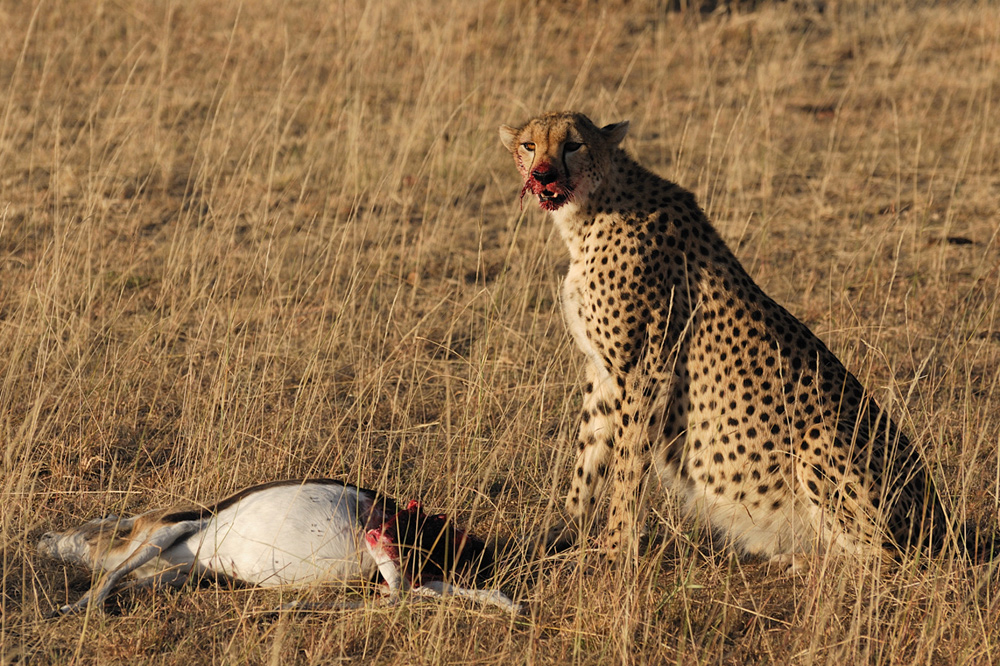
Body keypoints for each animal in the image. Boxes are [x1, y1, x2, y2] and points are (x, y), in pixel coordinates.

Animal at [500, 110, 944, 564]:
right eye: (530, 146)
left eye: (574, 145)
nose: (542, 174)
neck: (589, 211)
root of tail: (941, 522)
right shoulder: (603, 370)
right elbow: (589, 455)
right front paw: (564, 528)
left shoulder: (646, 370)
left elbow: (627, 462)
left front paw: (614, 549)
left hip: (822, 441)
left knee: (880, 562)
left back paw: (807, 559)